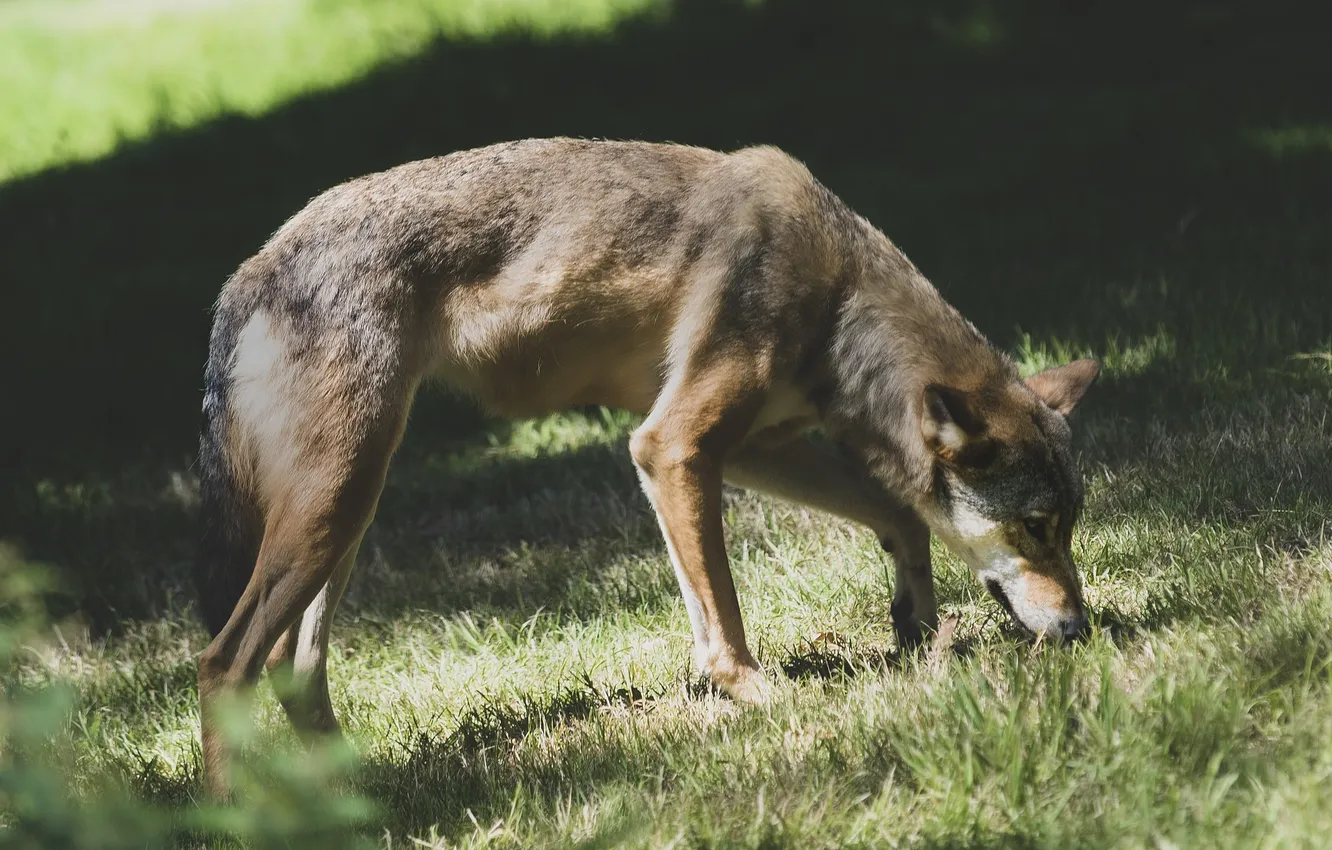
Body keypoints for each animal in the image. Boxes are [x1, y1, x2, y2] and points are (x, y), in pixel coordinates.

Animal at [194, 137, 1099, 795]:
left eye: (1067, 527)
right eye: (1033, 527)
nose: (1082, 631)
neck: (839, 301)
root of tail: (248, 270)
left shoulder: (754, 447)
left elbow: (900, 515)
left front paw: (914, 616)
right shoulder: (671, 447)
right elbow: (722, 616)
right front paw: (759, 694)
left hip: (348, 516)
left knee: (291, 667)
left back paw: (352, 793)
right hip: (336, 507)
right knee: (225, 662)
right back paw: (240, 813)